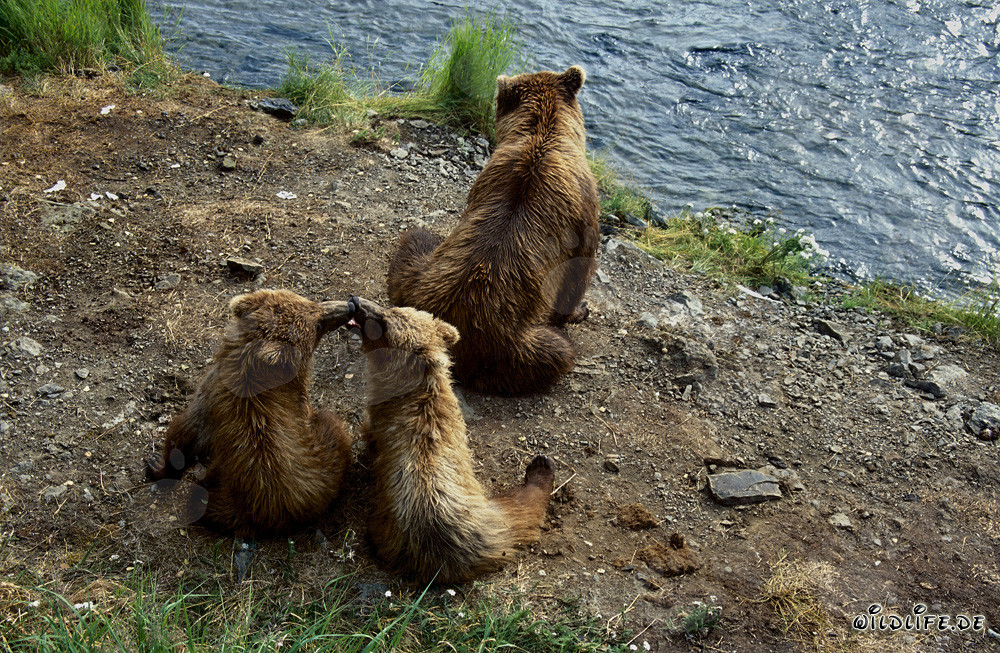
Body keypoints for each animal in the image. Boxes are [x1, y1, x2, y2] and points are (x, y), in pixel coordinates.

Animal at [348, 296, 555, 584]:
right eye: (391, 309)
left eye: (384, 318)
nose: (355, 301)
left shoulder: (379, 420)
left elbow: (370, 433)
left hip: (398, 523)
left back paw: (540, 467)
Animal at [386, 66, 600, 396]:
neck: (545, 135)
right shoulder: (582, 213)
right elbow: (579, 271)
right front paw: (580, 309)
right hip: (515, 346)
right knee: (557, 352)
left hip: (414, 278)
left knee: (415, 238)